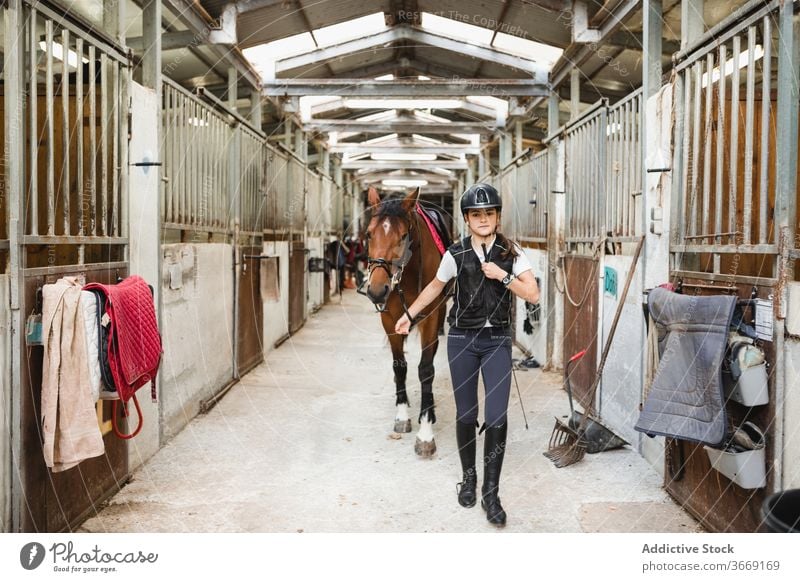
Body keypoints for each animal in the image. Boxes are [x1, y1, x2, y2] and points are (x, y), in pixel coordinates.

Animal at [362, 187, 450, 456]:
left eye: (403, 236)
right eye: (369, 234)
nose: (377, 290)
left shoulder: (430, 317)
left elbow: (426, 369)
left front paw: (426, 432)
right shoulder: (389, 318)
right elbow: (399, 366)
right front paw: (402, 415)